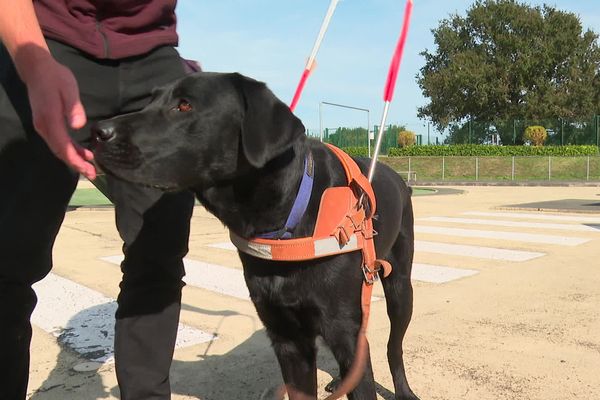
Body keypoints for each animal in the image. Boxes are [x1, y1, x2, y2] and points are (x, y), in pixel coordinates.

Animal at [91, 72, 418, 400]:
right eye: (150, 100)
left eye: (184, 105)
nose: (97, 132)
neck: (287, 222)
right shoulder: (287, 338)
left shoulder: (344, 331)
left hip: (400, 289)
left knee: (394, 347)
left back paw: (403, 390)